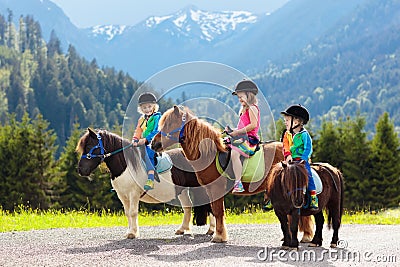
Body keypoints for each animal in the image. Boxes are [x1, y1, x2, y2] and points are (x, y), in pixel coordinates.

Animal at [77, 129, 216, 240]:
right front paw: (129, 232)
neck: (126, 165)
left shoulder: (133, 194)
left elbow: (133, 212)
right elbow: (127, 213)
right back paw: (182, 229)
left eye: (89, 145)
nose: (80, 170)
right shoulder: (122, 196)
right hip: (182, 190)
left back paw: (211, 230)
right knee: (187, 207)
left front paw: (133, 234)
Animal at [152, 105, 314, 244]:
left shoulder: (216, 189)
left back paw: (305, 236)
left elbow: (218, 212)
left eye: (169, 124)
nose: (154, 144)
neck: (209, 154)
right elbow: (216, 212)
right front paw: (219, 234)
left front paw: (218, 237)